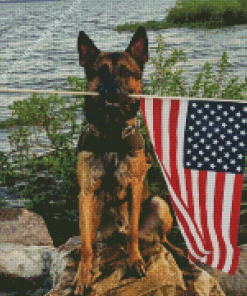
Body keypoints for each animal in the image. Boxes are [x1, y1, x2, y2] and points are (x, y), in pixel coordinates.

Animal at [73, 27, 187, 294]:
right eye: (101, 72)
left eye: (126, 72)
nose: (114, 93)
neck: (112, 133)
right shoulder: (86, 192)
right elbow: (87, 242)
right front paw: (83, 274)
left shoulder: (135, 187)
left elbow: (133, 232)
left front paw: (134, 260)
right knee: (92, 238)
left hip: (159, 203)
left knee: (159, 239)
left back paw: (175, 250)